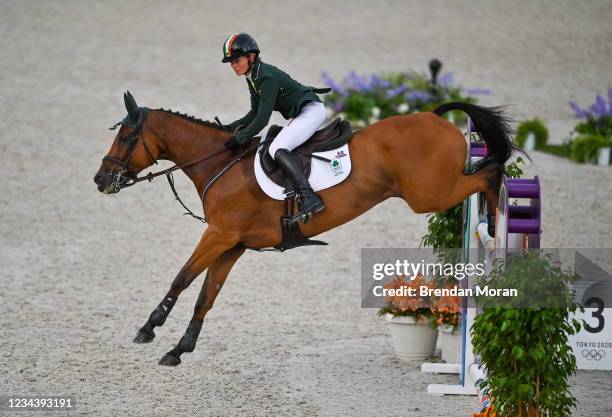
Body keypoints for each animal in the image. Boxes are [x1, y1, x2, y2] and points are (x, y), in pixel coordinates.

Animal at [94, 93, 516, 364]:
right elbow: (206, 296)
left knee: (491, 173)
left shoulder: (218, 235)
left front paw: (149, 328)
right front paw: (179, 349)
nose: (100, 180)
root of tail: (435, 116)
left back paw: (498, 220)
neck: (218, 164)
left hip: (430, 194)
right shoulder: (233, 244)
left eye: (126, 136)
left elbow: (181, 279)